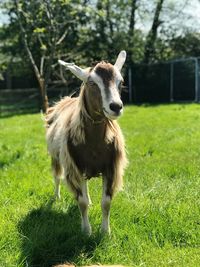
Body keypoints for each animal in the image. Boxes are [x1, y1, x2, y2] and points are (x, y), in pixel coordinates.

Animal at [45, 49, 126, 234]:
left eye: (121, 82)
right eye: (91, 82)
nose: (116, 107)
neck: (94, 145)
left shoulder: (110, 167)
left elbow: (106, 202)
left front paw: (105, 232)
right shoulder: (75, 165)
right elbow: (81, 202)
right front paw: (86, 231)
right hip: (55, 156)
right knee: (57, 177)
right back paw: (57, 197)